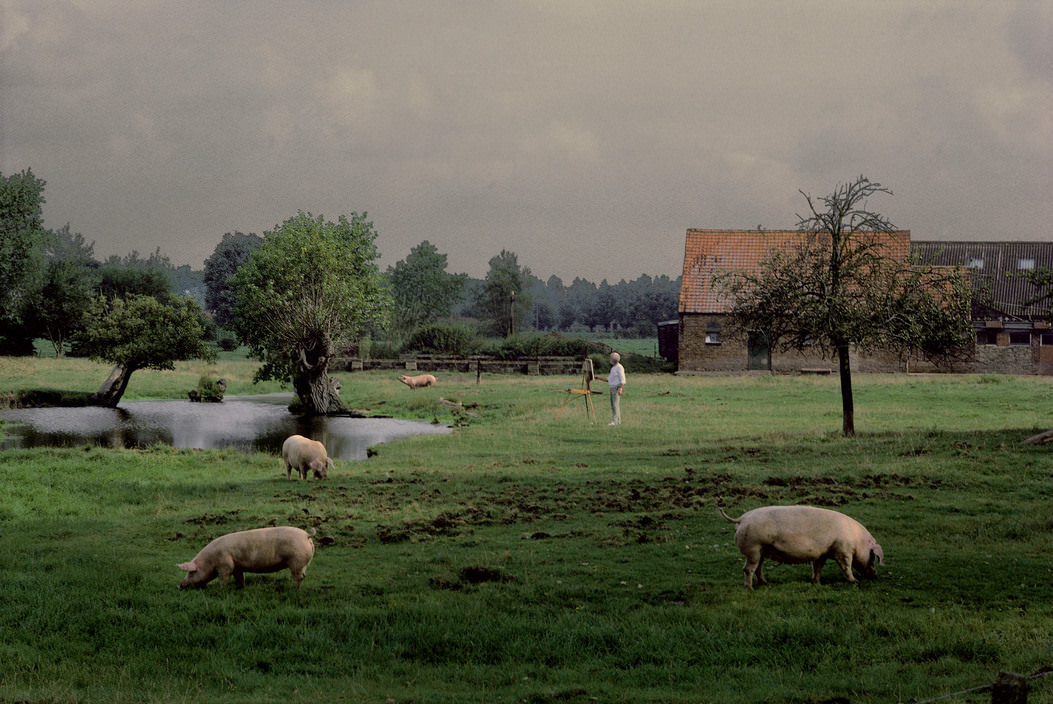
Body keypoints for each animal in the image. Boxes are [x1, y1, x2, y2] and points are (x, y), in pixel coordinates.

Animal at [176, 526, 313, 589]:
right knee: (303, 575)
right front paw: (241, 587)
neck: (210, 560)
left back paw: (294, 589)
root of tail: (307, 535)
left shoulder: (225, 564)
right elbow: (240, 577)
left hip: (296, 560)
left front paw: (222, 589)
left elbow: (224, 578)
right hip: (303, 563)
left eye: (191, 572)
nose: (180, 586)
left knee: (298, 577)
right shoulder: (237, 566)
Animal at [720, 505, 884, 589]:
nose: (875, 575)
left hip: (761, 550)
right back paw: (750, 588)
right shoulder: (843, 550)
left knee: (758, 568)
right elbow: (846, 566)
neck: (858, 541)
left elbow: (817, 567)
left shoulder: (822, 553)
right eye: (872, 557)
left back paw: (764, 583)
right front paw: (854, 581)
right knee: (748, 569)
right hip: (753, 548)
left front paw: (817, 583)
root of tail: (742, 519)